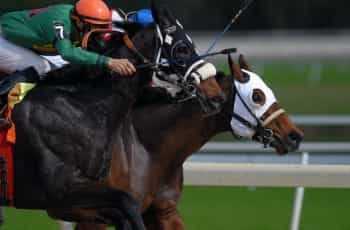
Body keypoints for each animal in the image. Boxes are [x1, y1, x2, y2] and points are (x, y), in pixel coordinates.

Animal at [1, 0, 226, 229]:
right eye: (182, 48)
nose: (217, 95)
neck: (81, 108)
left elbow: (124, 210)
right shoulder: (60, 195)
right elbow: (127, 203)